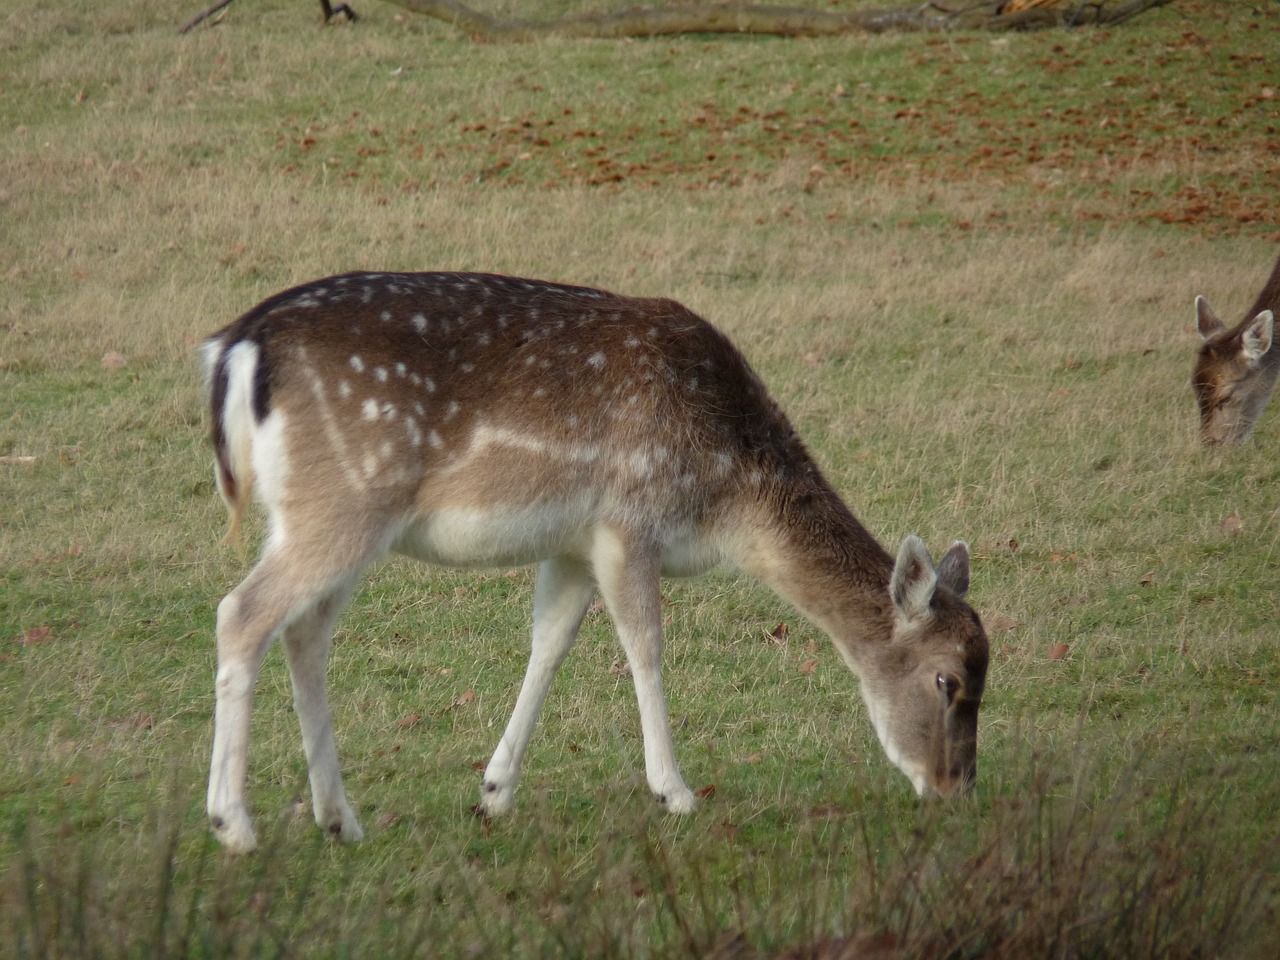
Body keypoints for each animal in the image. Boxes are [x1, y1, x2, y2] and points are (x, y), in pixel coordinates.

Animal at [199, 271, 988, 855]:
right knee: (242, 612)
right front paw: (675, 791)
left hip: (323, 515)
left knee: (304, 631)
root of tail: (237, 347)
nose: (956, 788)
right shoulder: (627, 523)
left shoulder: (573, 547)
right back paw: (233, 825)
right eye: (947, 680)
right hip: (345, 501)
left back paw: (340, 818)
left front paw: (495, 791)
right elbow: (646, 646)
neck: (729, 501)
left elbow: (548, 645)